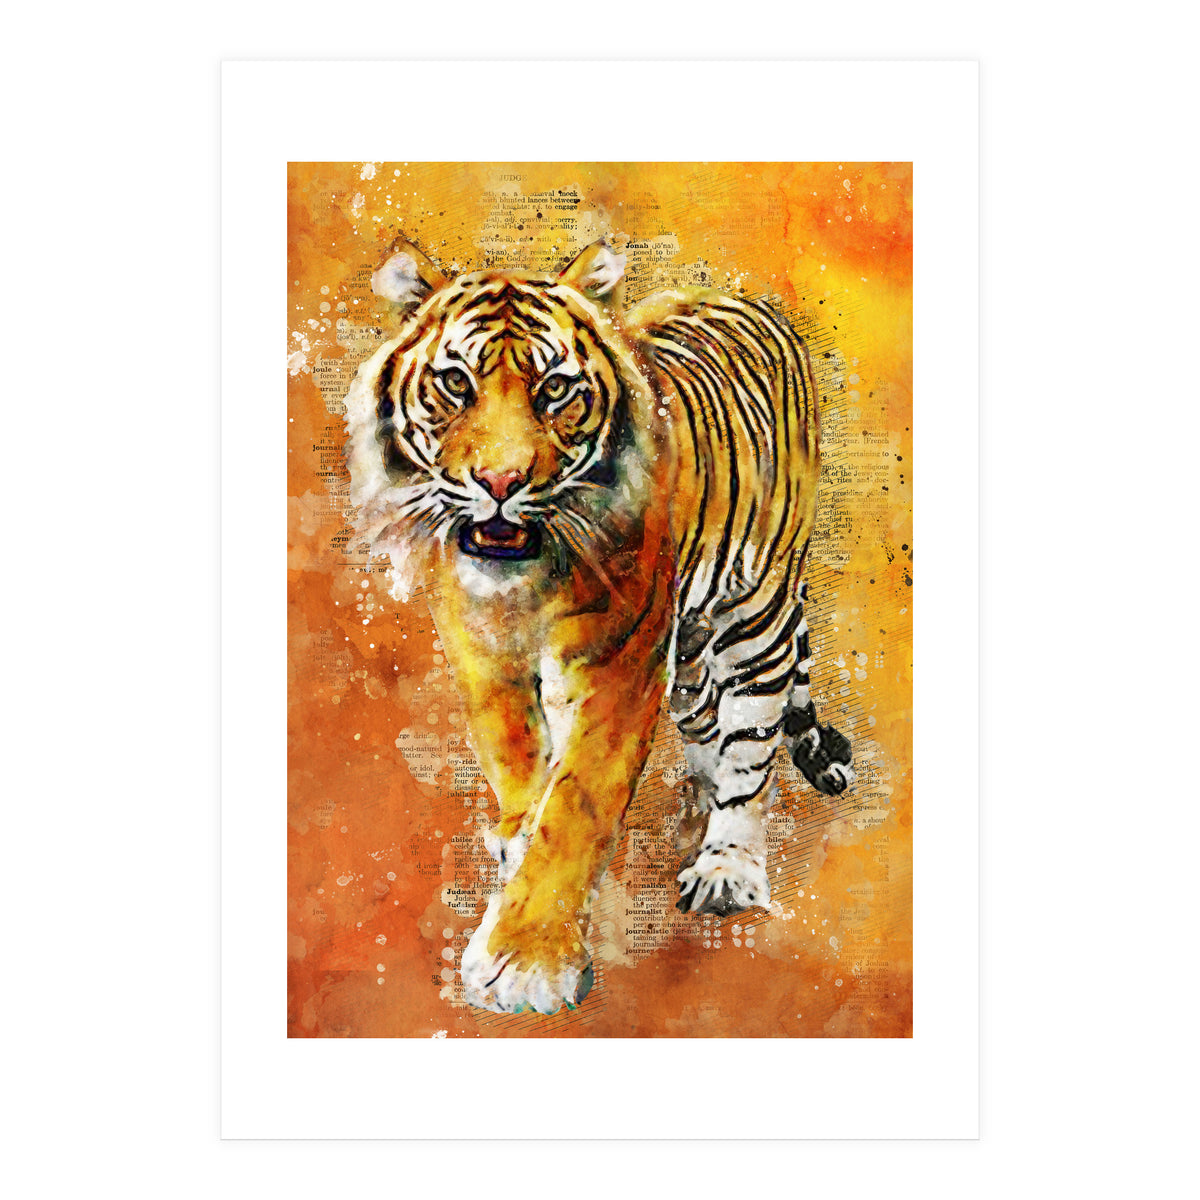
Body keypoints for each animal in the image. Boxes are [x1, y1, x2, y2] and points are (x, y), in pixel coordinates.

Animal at [342, 234, 854, 1015]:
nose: (500, 483)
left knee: (752, 741)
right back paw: (696, 801)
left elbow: (577, 803)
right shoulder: (481, 649)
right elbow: (517, 760)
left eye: (555, 389)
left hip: (755, 608)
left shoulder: (619, 663)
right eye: (455, 383)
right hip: (693, 646)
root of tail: (742, 297)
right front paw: (516, 841)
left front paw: (526, 960)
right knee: (706, 722)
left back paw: (727, 864)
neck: (523, 585)